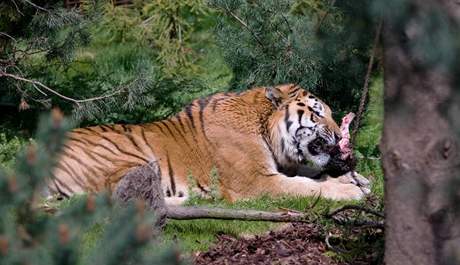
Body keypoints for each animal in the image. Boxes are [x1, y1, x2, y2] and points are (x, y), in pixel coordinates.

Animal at [48, 83, 370, 203]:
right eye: (318, 113)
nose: (340, 136)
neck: (263, 126)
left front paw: (358, 179)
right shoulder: (256, 182)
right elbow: (306, 186)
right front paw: (351, 190)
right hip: (129, 160)